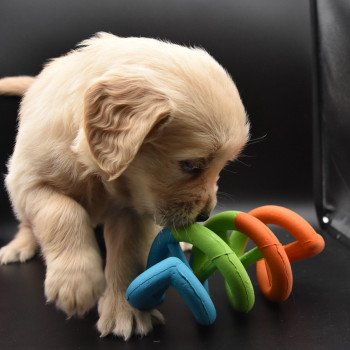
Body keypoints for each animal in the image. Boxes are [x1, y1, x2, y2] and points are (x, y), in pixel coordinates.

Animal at [0, 32, 249, 340]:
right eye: (191, 165)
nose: (204, 216)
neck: (98, 172)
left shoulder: (132, 209)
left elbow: (127, 253)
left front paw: (125, 311)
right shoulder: (30, 181)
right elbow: (62, 212)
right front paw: (76, 282)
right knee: (27, 222)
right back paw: (18, 246)